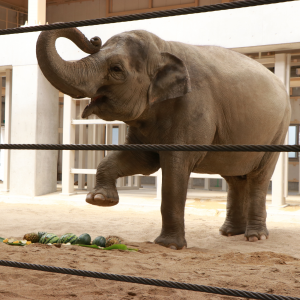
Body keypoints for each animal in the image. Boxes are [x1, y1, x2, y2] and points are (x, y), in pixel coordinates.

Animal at [35, 28, 290, 250]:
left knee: (258, 178)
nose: (94, 39)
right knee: (234, 178)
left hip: (278, 131)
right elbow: (141, 161)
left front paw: (169, 246)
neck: (164, 49)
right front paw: (100, 200)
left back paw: (255, 237)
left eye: (116, 69)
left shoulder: (193, 108)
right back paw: (228, 233)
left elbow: (174, 168)